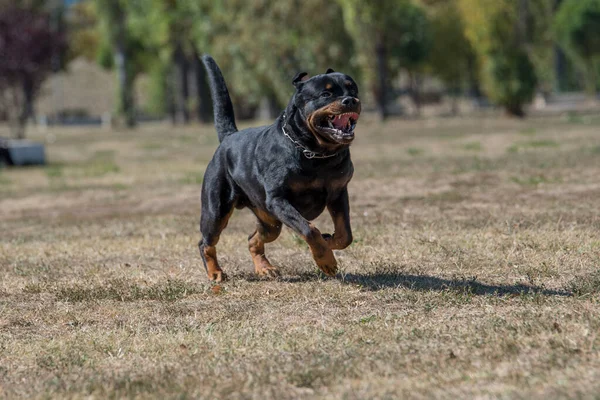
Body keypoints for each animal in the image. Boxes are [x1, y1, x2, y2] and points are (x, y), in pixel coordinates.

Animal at [200, 55, 360, 282]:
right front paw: (326, 260)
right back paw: (215, 272)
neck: (315, 152)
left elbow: (345, 234)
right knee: (206, 242)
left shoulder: (338, 192)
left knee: (253, 239)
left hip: (269, 221)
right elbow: (309, 229)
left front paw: (329, 240)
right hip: (217, 209)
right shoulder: (278, 200)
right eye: (326, 94)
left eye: (353, 90)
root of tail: (229, 137)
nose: (350, 100)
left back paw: (265, 268)